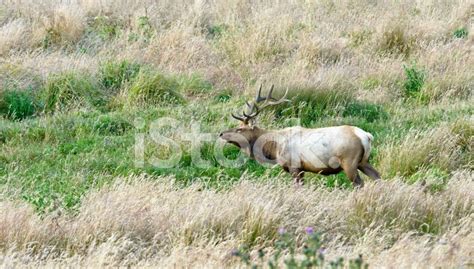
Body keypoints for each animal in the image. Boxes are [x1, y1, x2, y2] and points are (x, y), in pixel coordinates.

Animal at [219, 85, 382, 185]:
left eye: (240, 129)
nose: (221, 133)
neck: (274, 149)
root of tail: (366, 136)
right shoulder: (302, 169)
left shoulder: (294, 166)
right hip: (363, 161)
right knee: (377, 176)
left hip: (349, 161)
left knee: (359, 183)